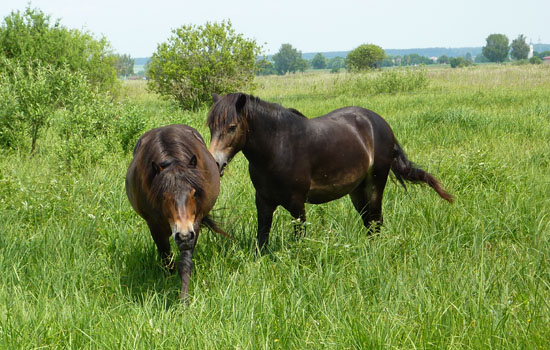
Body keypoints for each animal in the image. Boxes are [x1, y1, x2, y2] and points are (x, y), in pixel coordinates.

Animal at [126, 124, 224, 300]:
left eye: (194, 193)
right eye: (164, 196)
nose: (183, 235)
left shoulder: (194, 225)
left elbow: (185, 263)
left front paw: (183, 300)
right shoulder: (154, 226)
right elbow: (166, 260)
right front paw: (167, 287)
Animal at [209, 92, 454, 249]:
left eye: (232, 127)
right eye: (210, 126)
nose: (216, 163)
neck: (278, 146)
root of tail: (381, 124)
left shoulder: (297, 204)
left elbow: (300, 238)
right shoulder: (263, 202)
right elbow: (262, 239)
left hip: (376, 183)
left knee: (376, 221)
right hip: (357, 190)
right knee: (369, 221)